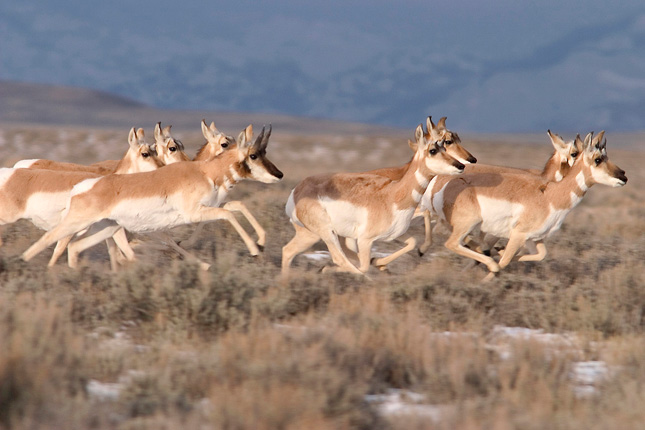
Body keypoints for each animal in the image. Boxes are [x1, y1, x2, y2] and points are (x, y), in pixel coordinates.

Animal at [282, 122, 462, 278]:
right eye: (432, 150)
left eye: (444, 146)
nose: (460, 165)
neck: (392, 196)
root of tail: (297, 190)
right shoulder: (364, 240)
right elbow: (363, 266)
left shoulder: (392, 235)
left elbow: (412, 242)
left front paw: (379, 262)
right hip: (327, 233)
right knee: (342, 259)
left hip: (310, 236)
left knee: (287, 251)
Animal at [428, 134, 624, 282]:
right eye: (598, 159)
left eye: (607, 156)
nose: (624, 176)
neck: (550, 194)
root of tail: (444, 179)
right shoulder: (517, 235)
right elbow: (504, 262)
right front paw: (487, 276)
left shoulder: (535, 238)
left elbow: (540, 255)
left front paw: (499, 253)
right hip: (468, 223)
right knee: (451, 242)